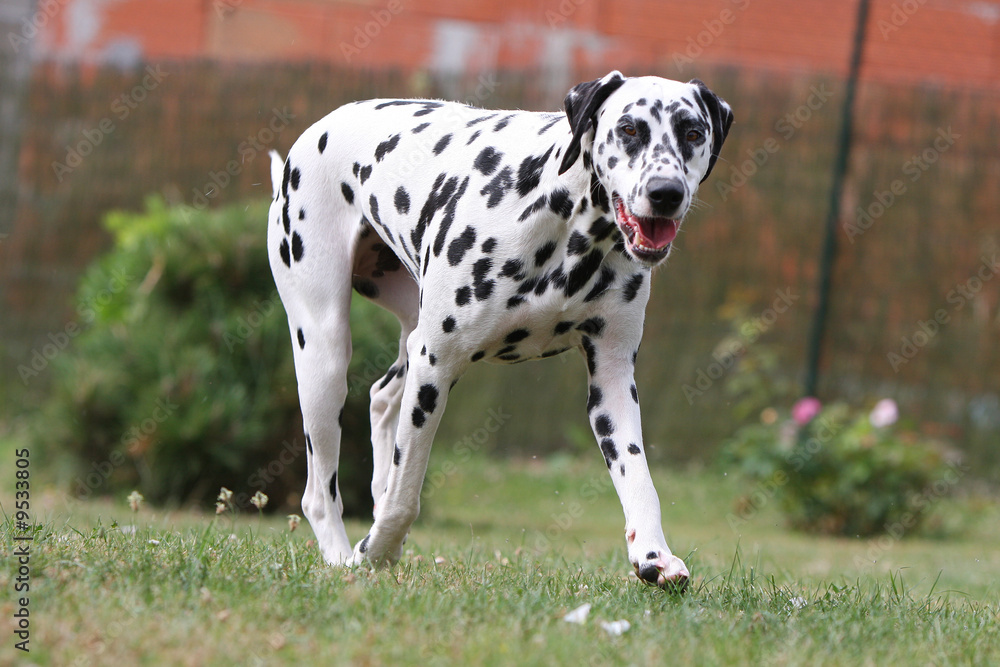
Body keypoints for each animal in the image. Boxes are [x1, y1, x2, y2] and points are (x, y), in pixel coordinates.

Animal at [270, 70, 732, 592]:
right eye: (630, 129)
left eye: (693, 132)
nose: (665, 192)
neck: (565, 225)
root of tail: (319, 129)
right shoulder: (435, 366)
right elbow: (406, 493)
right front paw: (376, 553)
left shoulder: (612, 381)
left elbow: (638, 476)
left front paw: (653, 556)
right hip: (326, 357)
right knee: (319, 490)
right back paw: (340, 555)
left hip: (409, 338)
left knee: (382, 396)